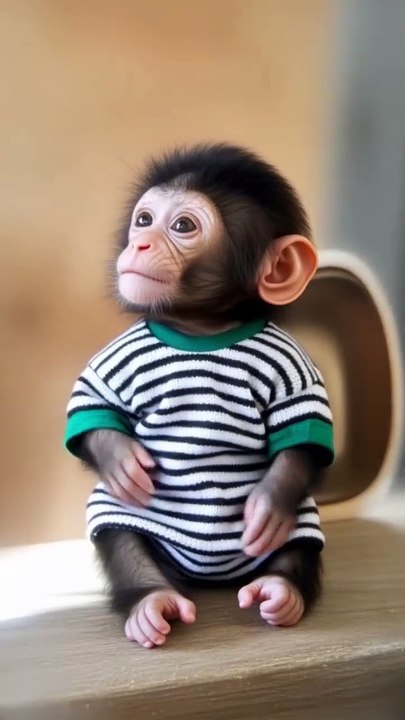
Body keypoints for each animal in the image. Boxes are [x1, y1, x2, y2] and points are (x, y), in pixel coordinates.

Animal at [65, 143, 334, 649]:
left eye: (183, 227)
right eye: (144, 219)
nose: (140, 243)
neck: (200, 330)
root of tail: (208, 579)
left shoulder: (293, 366)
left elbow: (301, 440)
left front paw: (268, 505)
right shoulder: (118, 356)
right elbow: (93, 409)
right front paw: (122, 461)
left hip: (303, 522)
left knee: (299, 545)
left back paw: (280, 590)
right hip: (130, 525)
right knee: (120, 537)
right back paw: (151, 602)